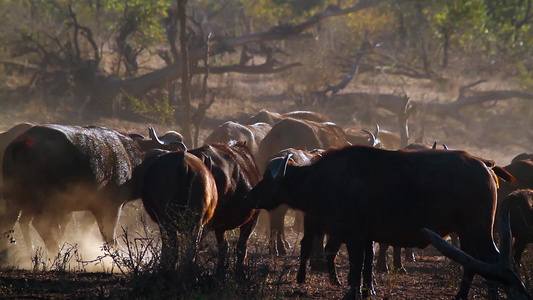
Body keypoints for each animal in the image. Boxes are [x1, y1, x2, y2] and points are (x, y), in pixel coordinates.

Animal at [247, 145, 512, 298]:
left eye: (268, 179)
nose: (250, 195)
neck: (327, 179)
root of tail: (484, 163)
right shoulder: (366, 237)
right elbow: (367, 266)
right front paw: (366, 291)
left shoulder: (354, 236)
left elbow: (356, 266)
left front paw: (352, 293)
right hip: (467, 233)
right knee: (472, 262)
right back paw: (461, 295)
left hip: (479, 230)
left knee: (491, 261)